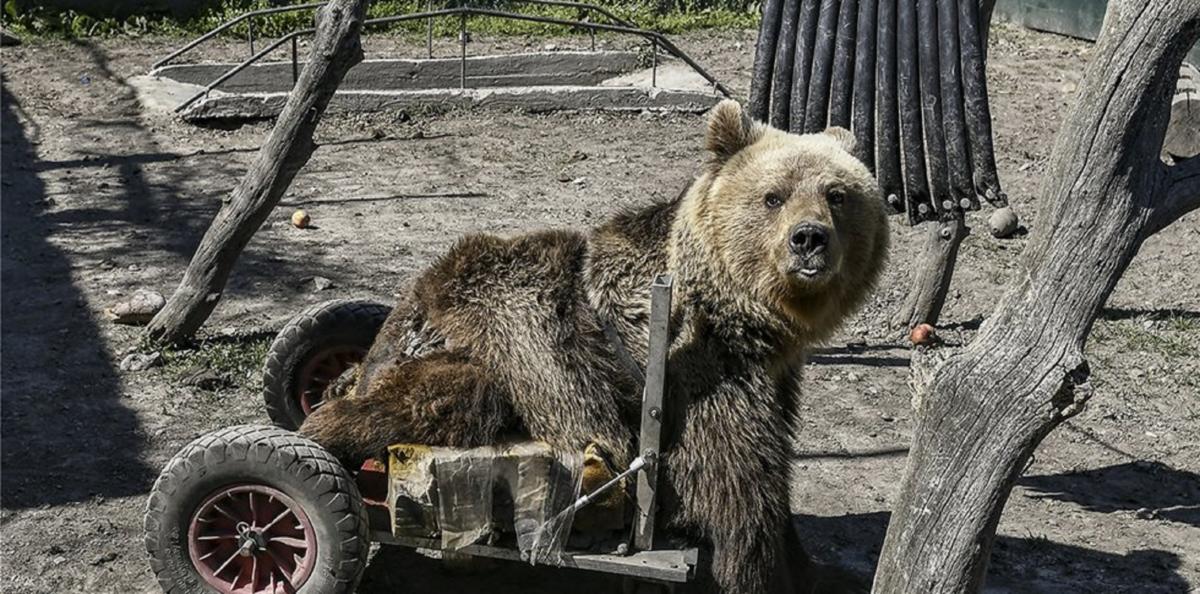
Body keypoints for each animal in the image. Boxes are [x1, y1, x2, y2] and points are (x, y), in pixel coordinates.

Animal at [296, 100, 888, 592]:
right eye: (773, 196)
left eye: (837, 195)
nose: (809, 239)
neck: (743, 312)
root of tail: (396, 326)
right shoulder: (699, 373)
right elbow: (738, 487)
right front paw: (761, 572)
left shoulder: (770, 376)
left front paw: (811, 568)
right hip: (490, 346)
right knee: (430, 402)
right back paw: (322, 434)